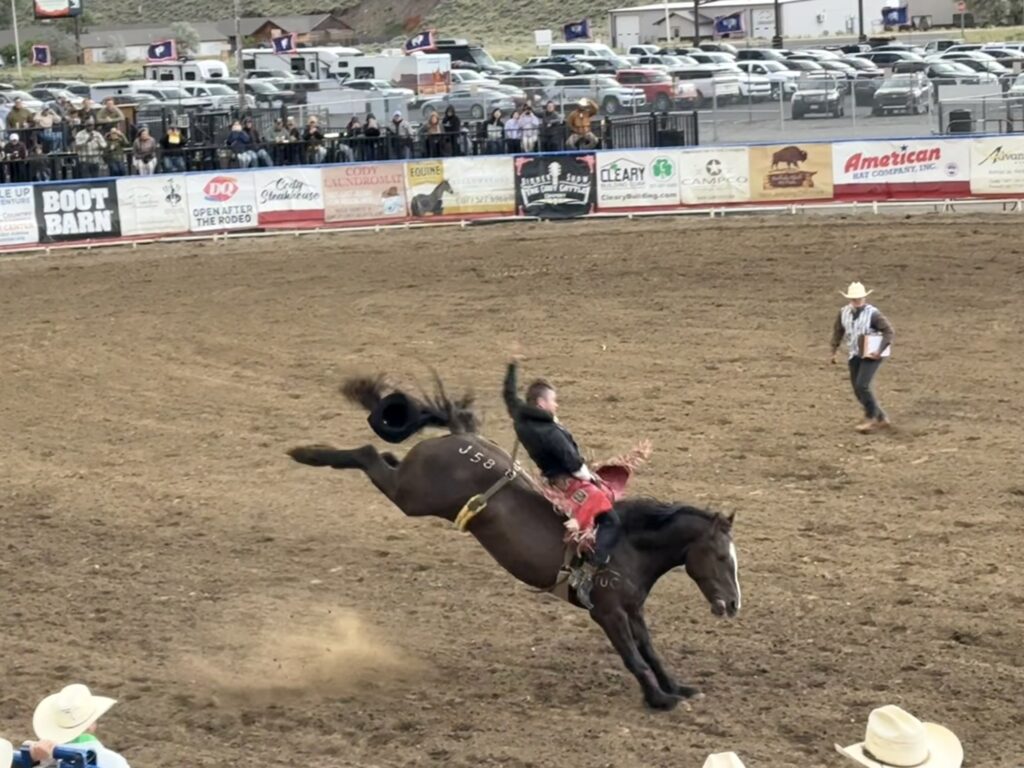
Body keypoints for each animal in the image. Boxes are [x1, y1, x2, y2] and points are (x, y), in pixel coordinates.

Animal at [288, 375, 741, 711]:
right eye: (721, 556)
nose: (734, 604)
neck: (629, 548)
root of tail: (458, 436)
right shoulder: (608, 613)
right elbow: (633, 656)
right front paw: (660, 699)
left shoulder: (633, 609)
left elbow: (649, 651)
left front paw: (677, 687)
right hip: (411, 496)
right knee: (368, 452)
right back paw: (305, 452)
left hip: (410, 484)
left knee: (383, 456)